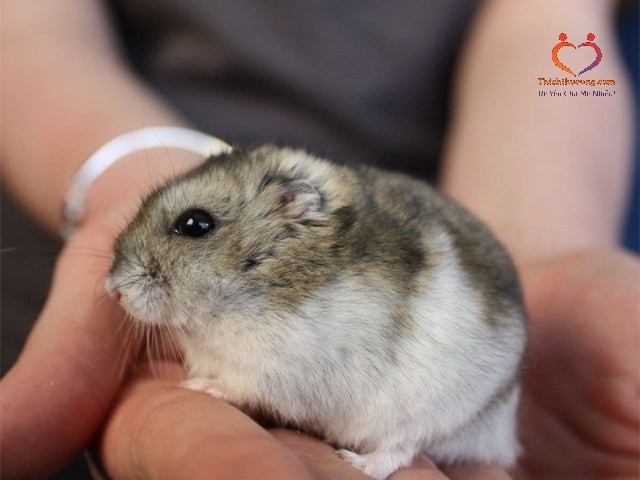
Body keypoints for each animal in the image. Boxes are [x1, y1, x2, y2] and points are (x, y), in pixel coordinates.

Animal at [106, 146, 527, 479]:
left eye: (195, 223)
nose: (113, 291)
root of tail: (503, 426)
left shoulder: (275, 369)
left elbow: (238, 385)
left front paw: (198, 386)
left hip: (432, 412)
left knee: (399, 450)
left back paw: (356, 463)